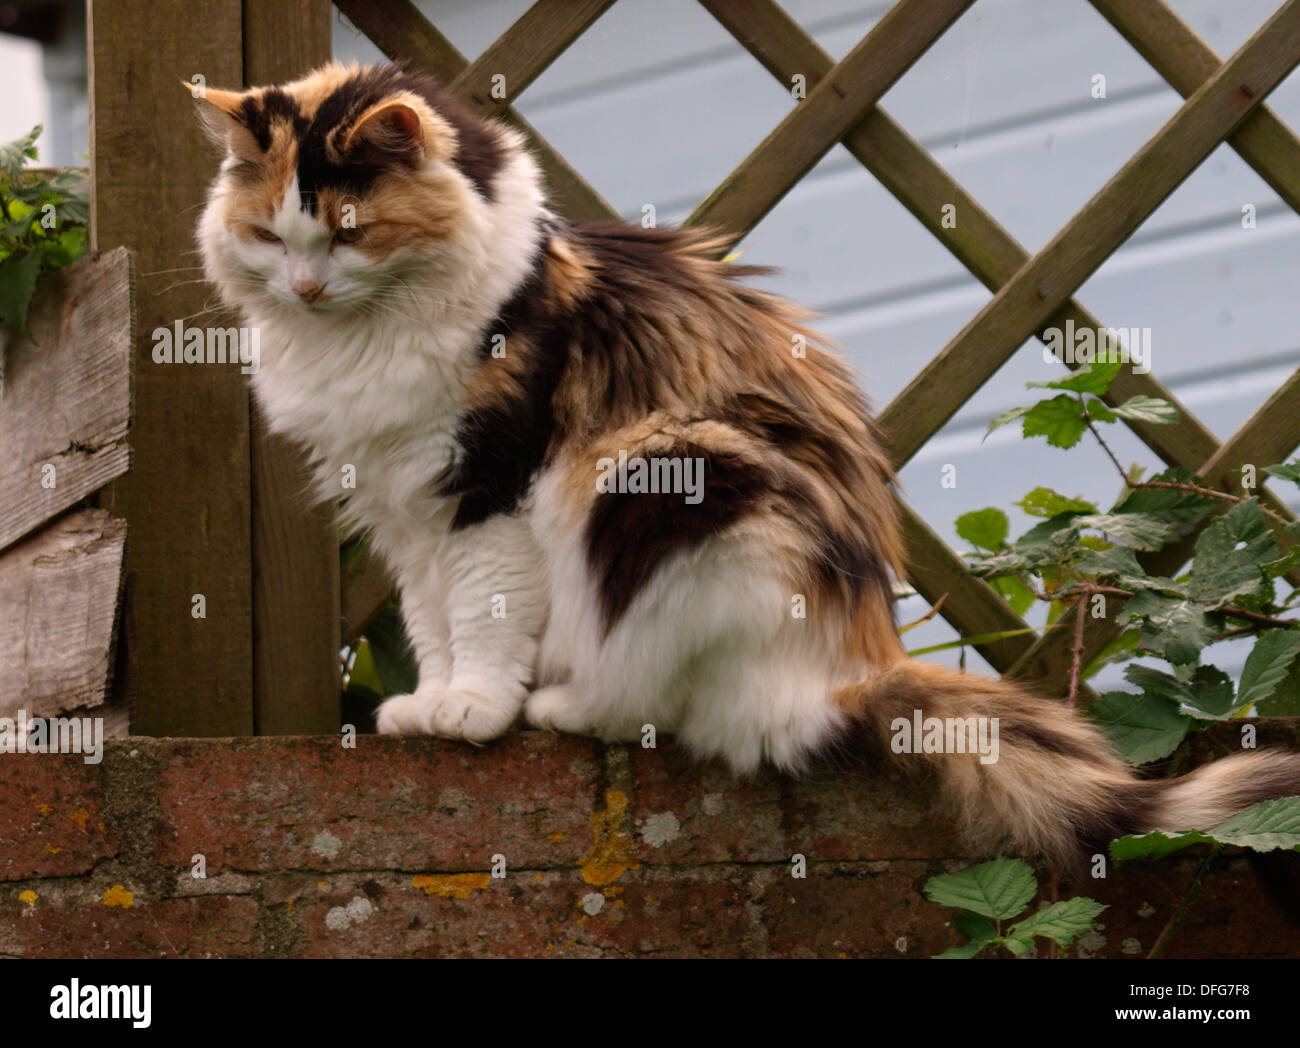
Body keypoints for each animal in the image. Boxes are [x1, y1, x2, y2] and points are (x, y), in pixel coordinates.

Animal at [195, 63, 1300, 868]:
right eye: (271, 237)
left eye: (351, 233)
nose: (303, 287)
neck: (369, 340)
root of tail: (848, 671)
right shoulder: (406, 509)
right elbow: (432, 621)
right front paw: (428, 705)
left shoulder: (489, 488)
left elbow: (483, 615)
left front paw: (476, 712)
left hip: (658, 476)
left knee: (639, 694)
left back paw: (560, 707)